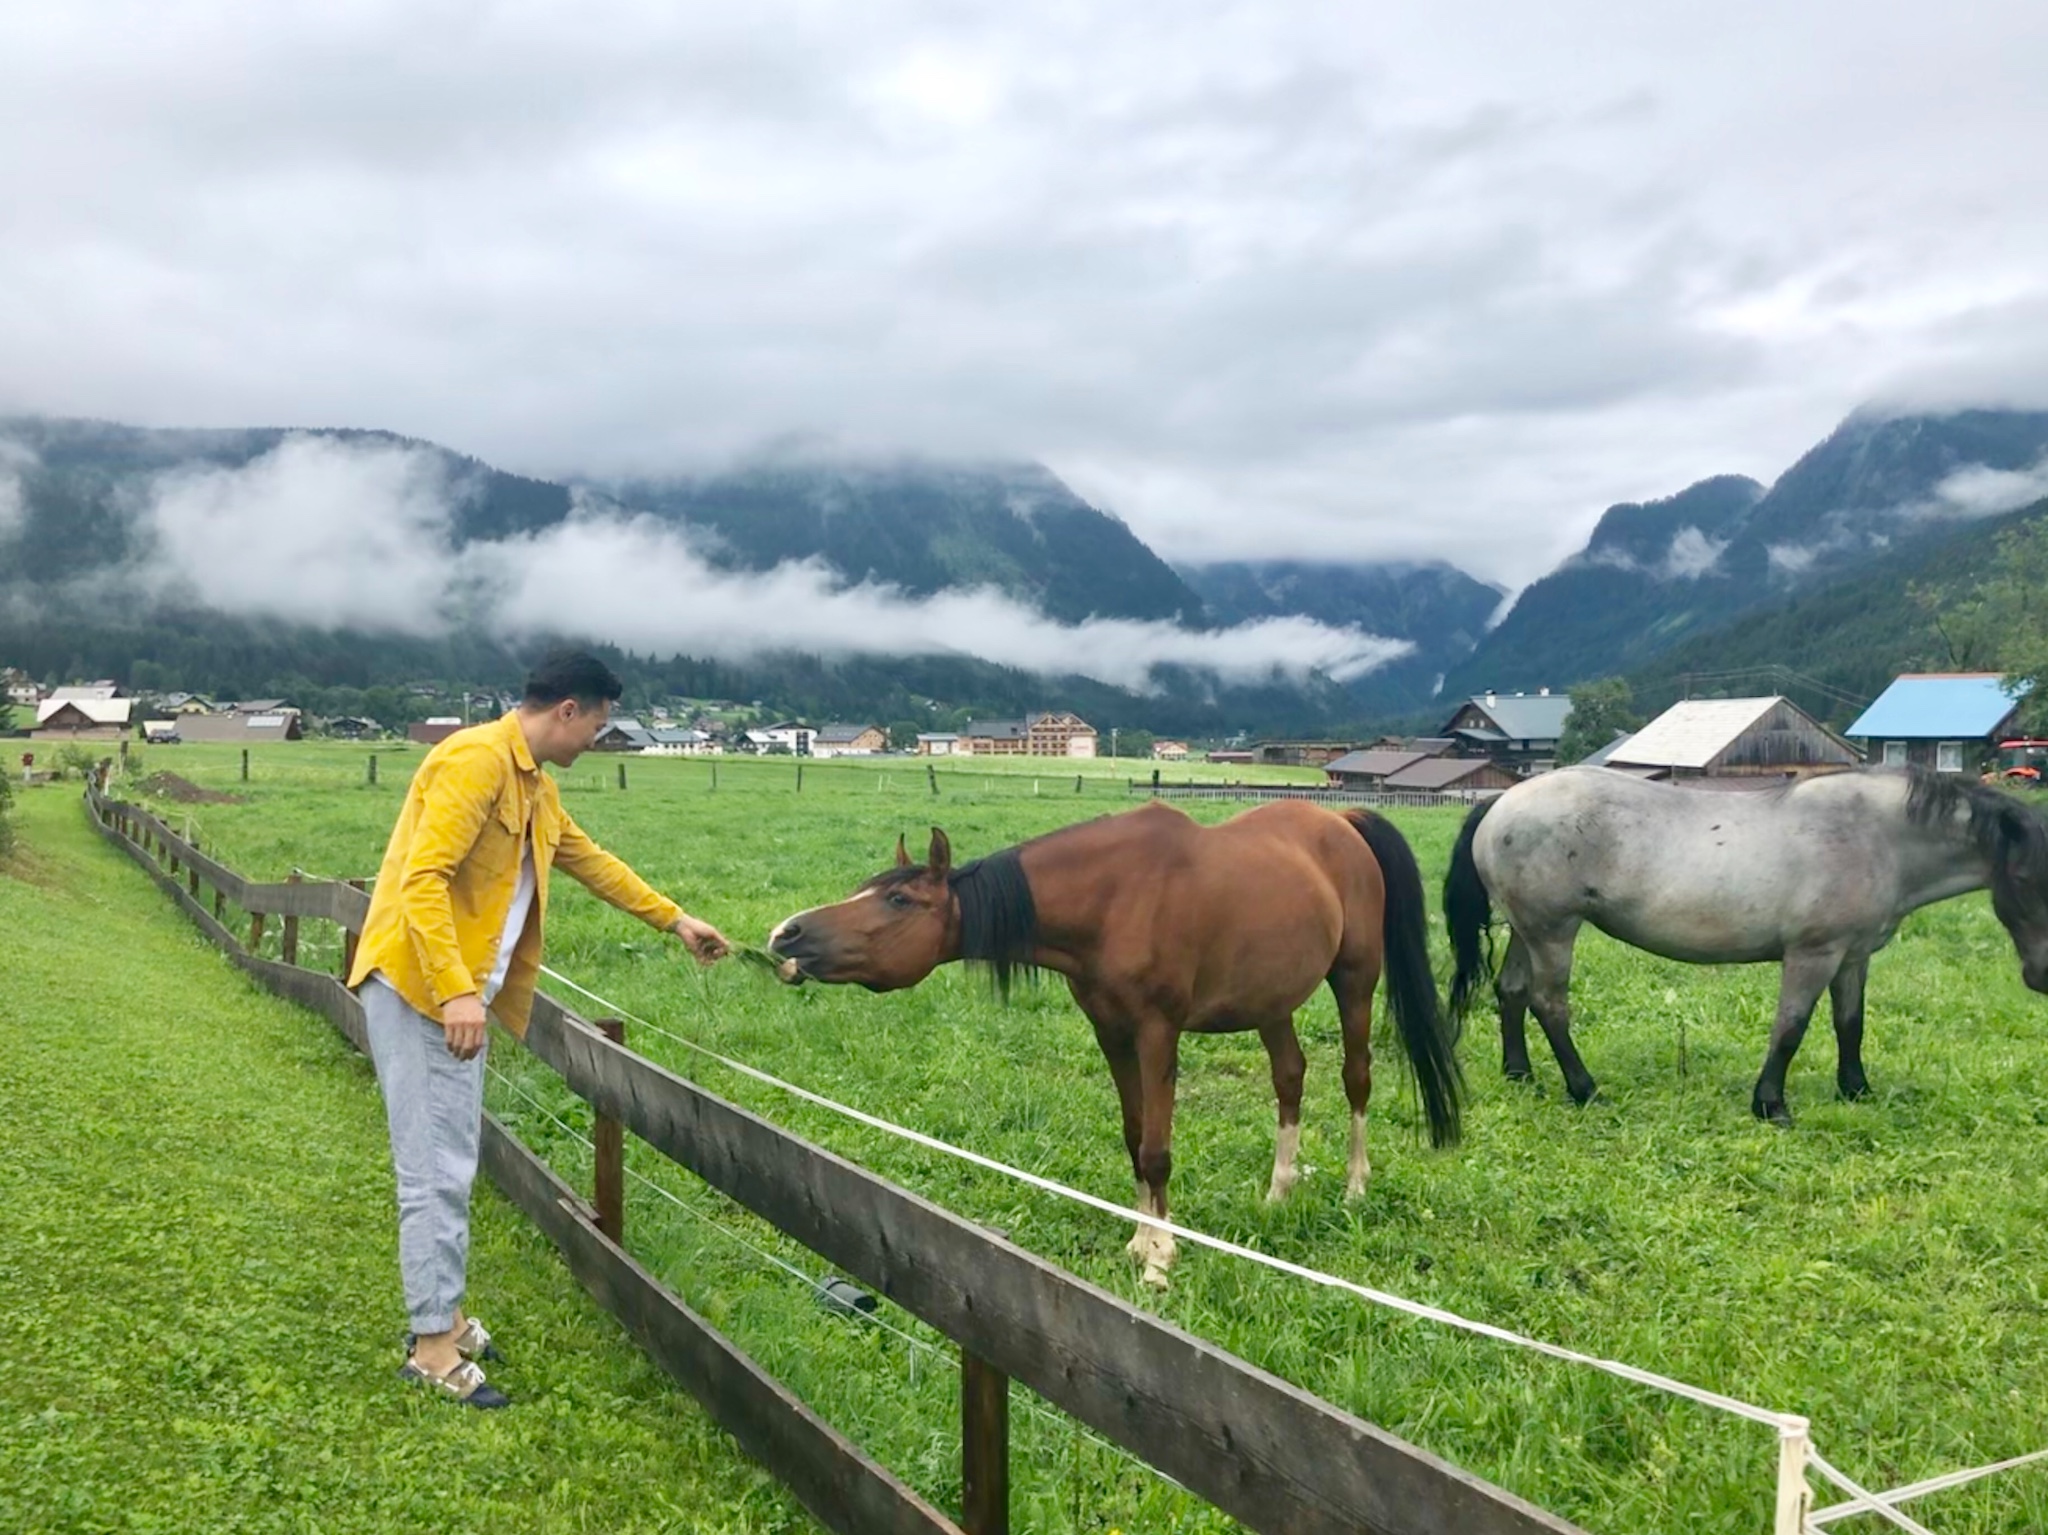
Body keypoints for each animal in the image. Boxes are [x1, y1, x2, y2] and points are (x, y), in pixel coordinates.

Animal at [765, 798, 1458, 1293]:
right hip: (1271, 999)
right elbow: (1132, 1138)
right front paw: (1138, 1242)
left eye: (899, 897)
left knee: (1356, 1076)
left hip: (1356, 980)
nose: (786, 934)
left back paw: (1355, 1187)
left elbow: (1156, 1149)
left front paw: (1160, 1259)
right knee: (1290, 1076)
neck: (1115, 898)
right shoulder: (1111, 1032)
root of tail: (1342, 823)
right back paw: (1278, 1192)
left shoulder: (1157, 1032)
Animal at [1441, 769, 2048, 1129]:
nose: (2041, 977)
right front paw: (1770, 1104)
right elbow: (1791, 1028)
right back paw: (1585, 1089)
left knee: (1512, 992)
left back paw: (1520, 1074)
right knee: (1549, 1004)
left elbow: (1849, 1023)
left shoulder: (1852, 956)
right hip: (1553, 931)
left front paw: (1856, 1089)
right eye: (2027, 878)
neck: (1874, 835)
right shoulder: (1812, 955)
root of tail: (1502, 802)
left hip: (1527, 930)